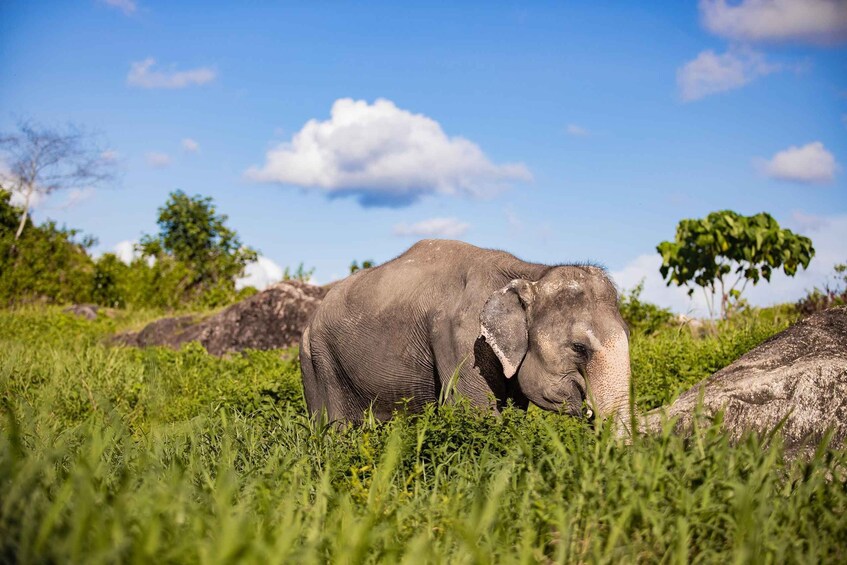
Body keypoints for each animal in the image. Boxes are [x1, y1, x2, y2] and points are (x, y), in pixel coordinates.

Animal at [300, 239, 632, 429]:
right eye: (578, 347)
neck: (531, 272)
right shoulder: (460, 338)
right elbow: (476, 412)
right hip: (320, 359)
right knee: (336, 429)